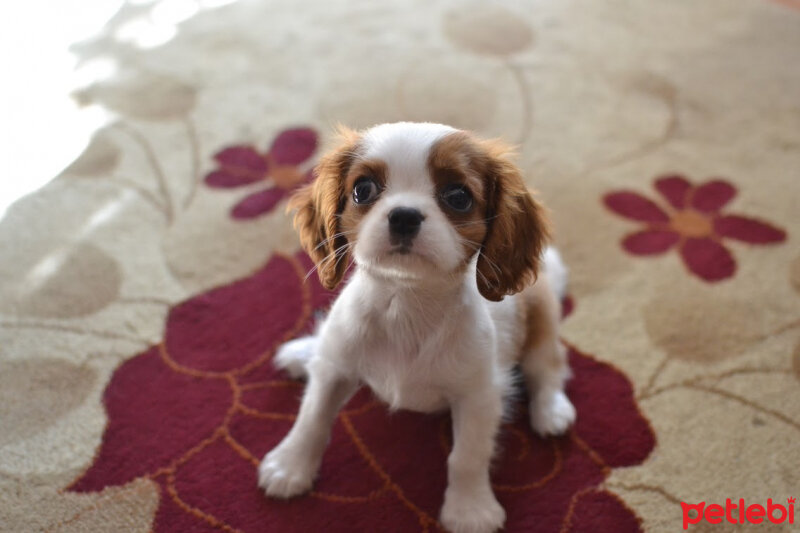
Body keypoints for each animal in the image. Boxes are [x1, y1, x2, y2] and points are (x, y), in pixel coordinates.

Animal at [260, 121, 580, 532]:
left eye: (458, 196)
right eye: (363, 189)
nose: (404, 216)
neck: (405, 304)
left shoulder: (479, 395)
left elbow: (467, 455)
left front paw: (470, 509)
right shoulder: (334, 370)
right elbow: (312, 417)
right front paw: (290, 466)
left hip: (541, 319)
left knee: (548, 368)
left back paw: (551, 411)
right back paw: (303, 353)